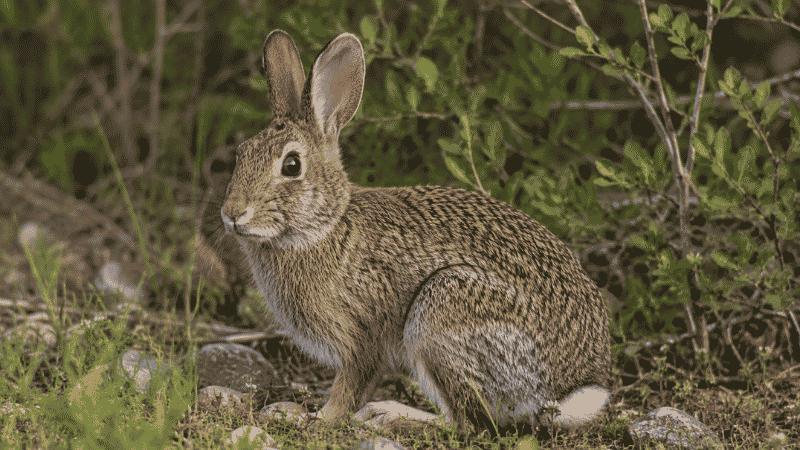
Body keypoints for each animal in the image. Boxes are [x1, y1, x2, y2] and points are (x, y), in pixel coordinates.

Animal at [220, 29, 611, 431]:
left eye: (292, 165)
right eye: (241, 153)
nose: (233, 214)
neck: (324, 226)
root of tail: (565, 388)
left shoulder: (361, 336)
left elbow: (351, 384)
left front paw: (318, 417)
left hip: (440, 314)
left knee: (467, 423)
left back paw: (388, 413)